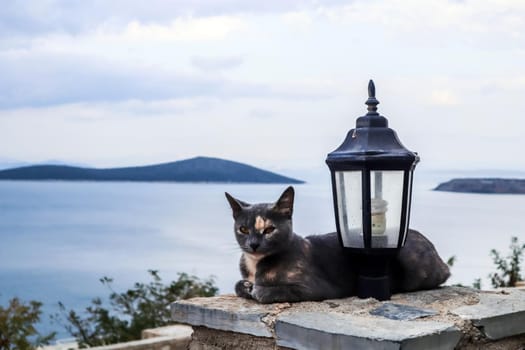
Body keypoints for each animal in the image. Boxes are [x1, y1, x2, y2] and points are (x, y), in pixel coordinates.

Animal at [223, 186, 448, 304]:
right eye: (243, 229)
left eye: (269, 229)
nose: (253, 244)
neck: (255, 264)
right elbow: (238, 285)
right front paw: (245, 286)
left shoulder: (314, 287)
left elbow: (269, 291)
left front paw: (256, 289)